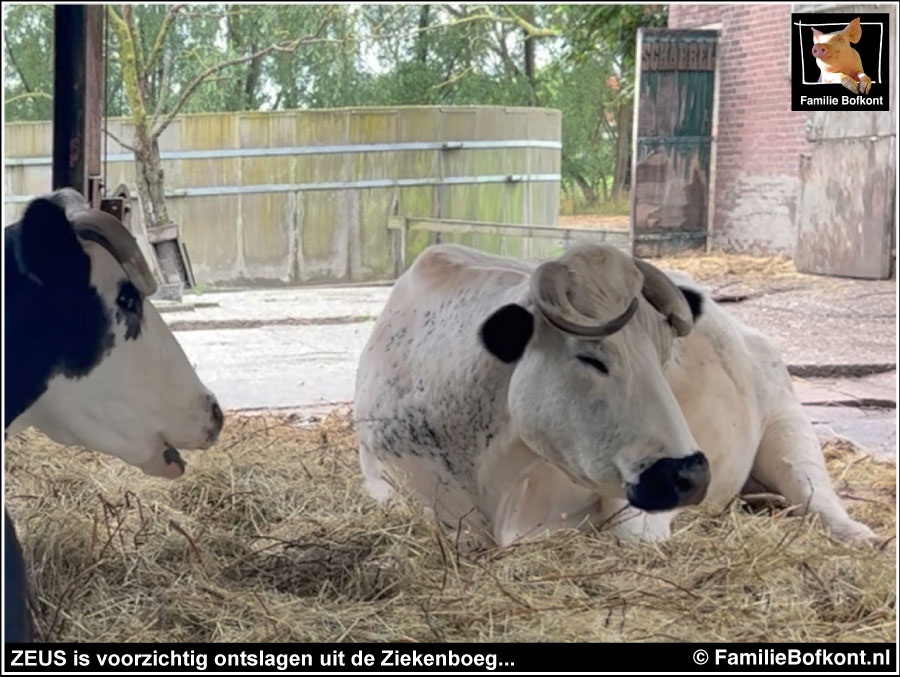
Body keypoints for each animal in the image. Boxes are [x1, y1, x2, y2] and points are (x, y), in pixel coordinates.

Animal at [354, 246, 880, 548]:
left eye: (666, 354)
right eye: (591, 358)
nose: (692, 474)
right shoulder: (381, 480)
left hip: (787, 424)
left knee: (816, 493)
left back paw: (859, 535)